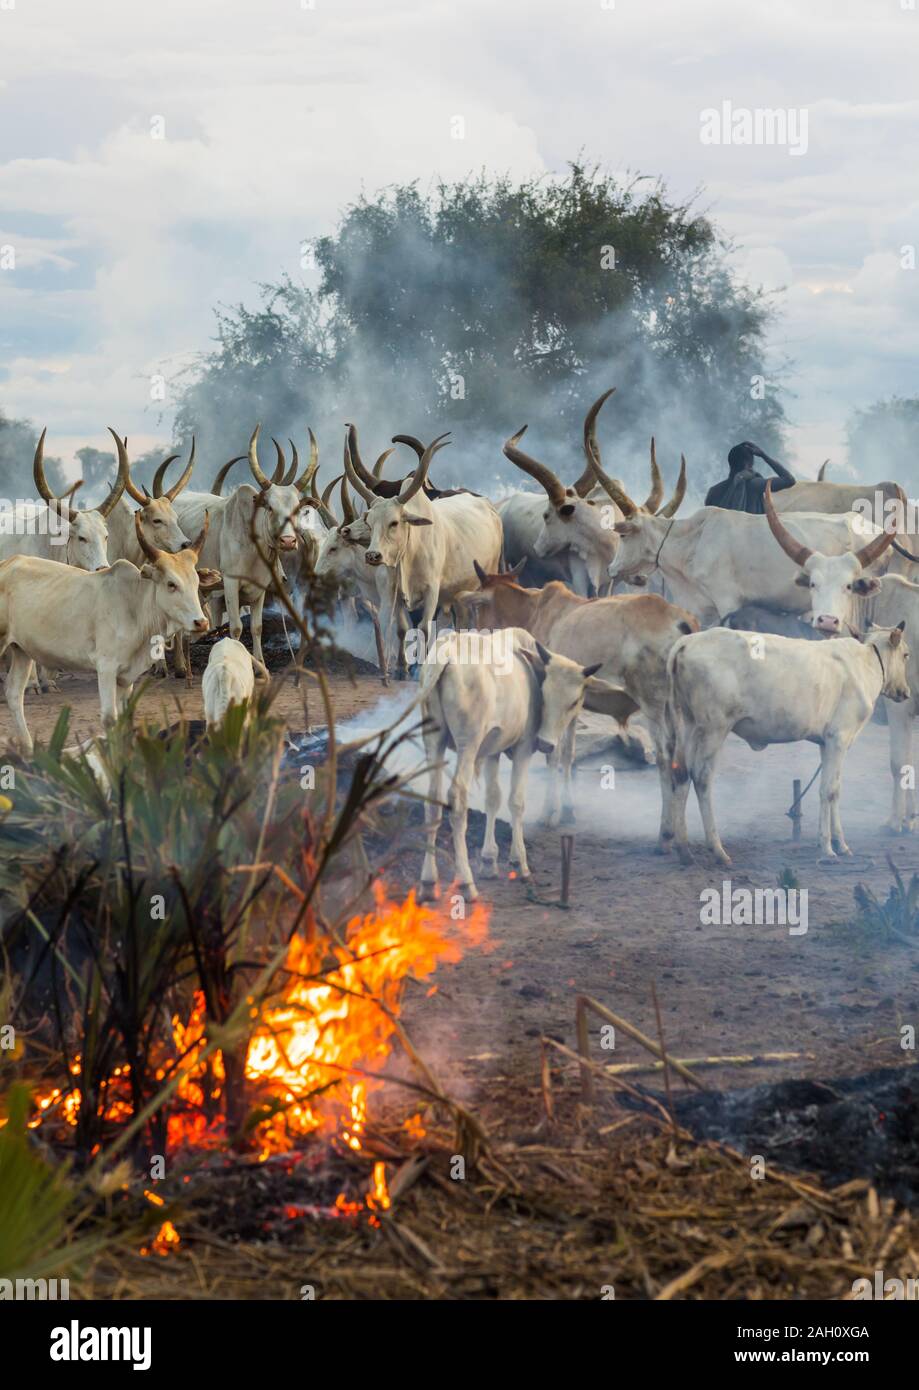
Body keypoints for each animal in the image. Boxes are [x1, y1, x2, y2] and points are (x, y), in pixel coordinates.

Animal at [0, 514, 218, 756]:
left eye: (196, 582)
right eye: (171, 584)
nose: (201, 622)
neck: (135, 605)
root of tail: (6, 564)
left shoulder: (126, 677)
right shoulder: (106, 667)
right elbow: (109, 719)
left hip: (21, 651)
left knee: (14, 694)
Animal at [417, 631, 631, 900]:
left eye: (574, 702)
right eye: (545, 695)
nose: (547, 744)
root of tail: (447, 651)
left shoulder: (492, 751)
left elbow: (493, 799)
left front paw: (489, 860)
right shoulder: (523, 748)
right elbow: (516, 802)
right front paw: (520, 861)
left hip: (433, 742)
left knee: (432, 801)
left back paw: (428, 880)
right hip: (469, 744)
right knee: (457, 798)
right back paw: (466, 882)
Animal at [661, 625, 906, 861]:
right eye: (906, 655)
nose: (905, 691)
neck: (866, 662)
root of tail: (688, 641)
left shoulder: (827, 742)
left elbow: (834, 789)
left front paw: (839, 843)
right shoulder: (839, 738)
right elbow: (828, 790)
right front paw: (827, 847)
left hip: (689, 724)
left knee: (681, 773)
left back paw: (684, 849)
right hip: (714, 728)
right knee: (702, 777)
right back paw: (717, 849)